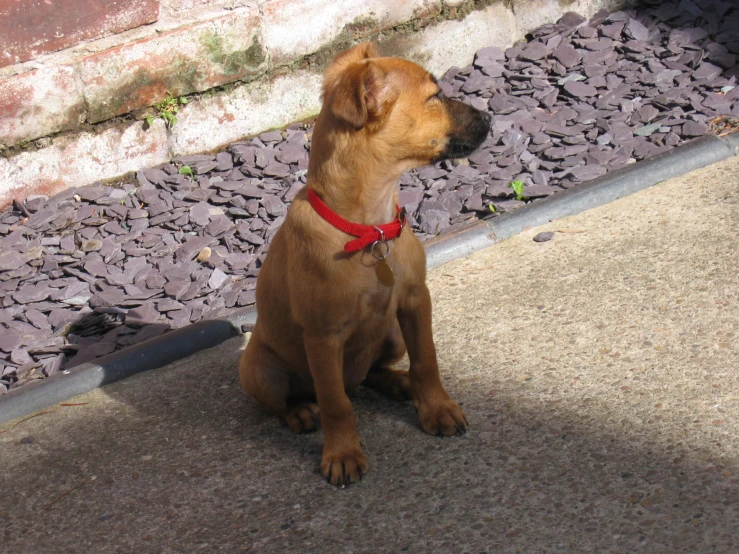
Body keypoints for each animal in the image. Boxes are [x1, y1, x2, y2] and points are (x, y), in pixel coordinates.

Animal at [238, 42, 492, 484]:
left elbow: (427, 360)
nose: (491, 118)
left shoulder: (415, 301)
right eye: (434, 96)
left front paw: (437, 408)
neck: (368, 227)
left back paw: (398, 383)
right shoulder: (322, 339)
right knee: (292, 401)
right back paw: (301, 412)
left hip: (390, 333)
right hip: (258, 370)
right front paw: (342, 453)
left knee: (371, 374)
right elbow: (336, 403)